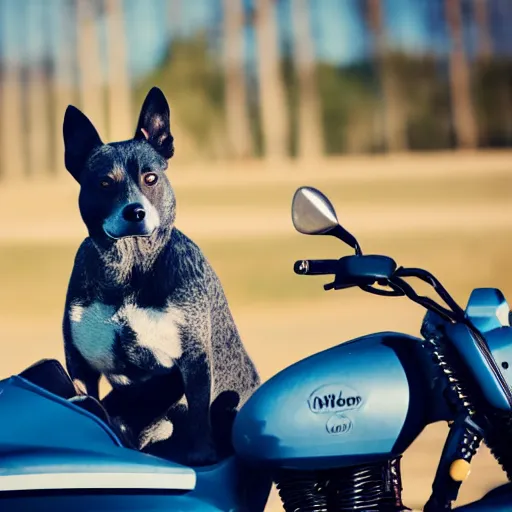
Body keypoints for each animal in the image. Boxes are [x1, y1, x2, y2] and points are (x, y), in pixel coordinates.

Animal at [62, 87, 260, 464]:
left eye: (150, 178)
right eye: (104, 183)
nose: (135, 211)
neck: (129, 271)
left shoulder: (193, 357)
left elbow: (198, 412)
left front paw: (201, 455)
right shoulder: (80, 364)